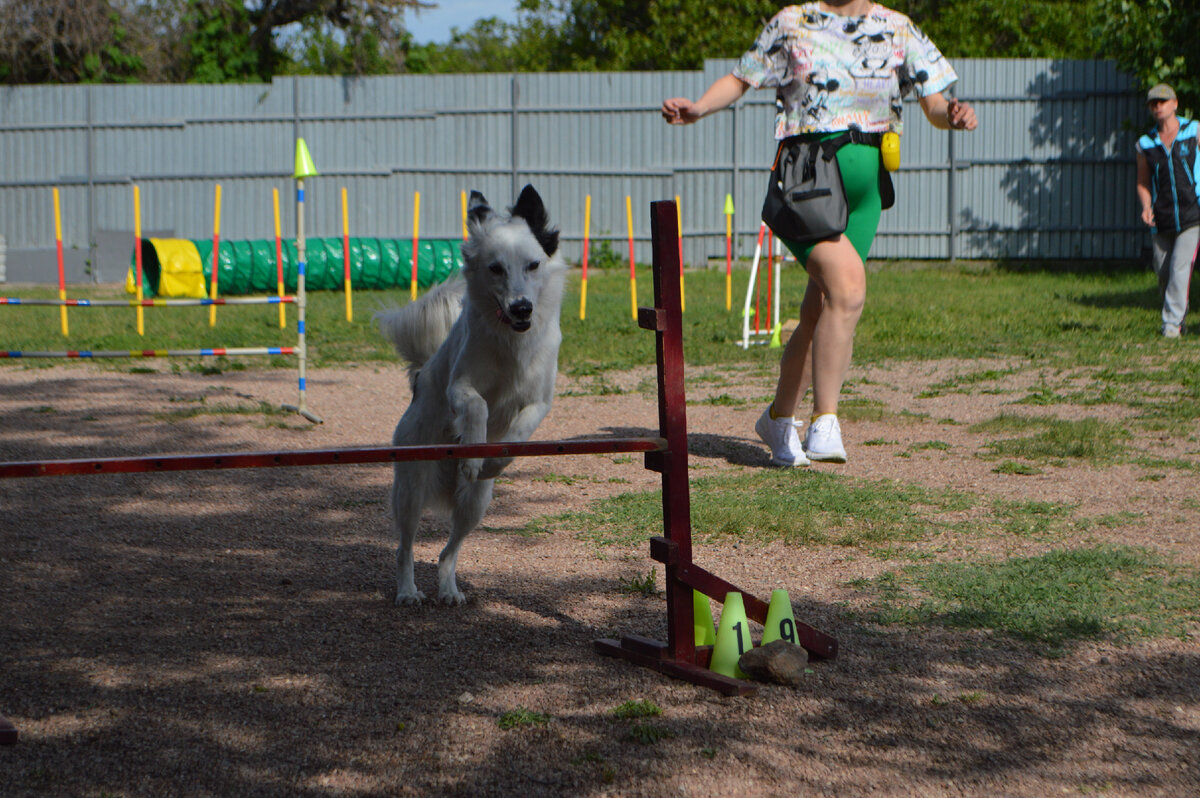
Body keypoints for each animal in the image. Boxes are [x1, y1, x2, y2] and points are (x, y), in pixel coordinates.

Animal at [374, 184, 566, 604]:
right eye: (496, 268)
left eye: (533, 265)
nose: (522, 308)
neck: (511, 340)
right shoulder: (459, 386)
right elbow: (478, 405)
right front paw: (473, 452)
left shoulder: (539, 401)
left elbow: (518, 434)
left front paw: (490, 462)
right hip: (411, 488)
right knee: (404, 547)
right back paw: (408, 591)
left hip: (475, 503)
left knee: (449, 551)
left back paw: (448, 590)